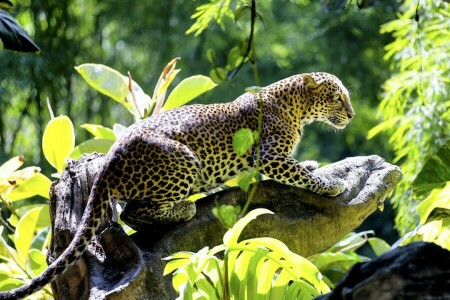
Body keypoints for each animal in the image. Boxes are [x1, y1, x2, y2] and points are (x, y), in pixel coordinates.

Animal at [0, 71, 354, 298]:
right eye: (338, 99)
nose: (350, 115)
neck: (296, 107)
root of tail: (109, 160)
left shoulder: (273, 159)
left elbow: (299, 168)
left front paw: (313, 165)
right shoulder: (268, 156)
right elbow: (299, 174)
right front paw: (329, 184)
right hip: (184, 160)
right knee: (132, 213)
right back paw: (185, 209)